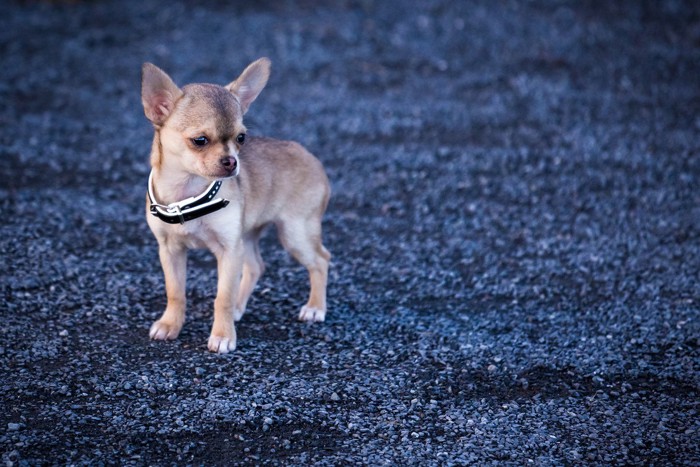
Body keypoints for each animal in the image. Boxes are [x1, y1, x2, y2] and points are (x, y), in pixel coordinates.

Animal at [141, 57, 332, 354]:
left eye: (241, 138)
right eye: (199, 140)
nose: (232, 162)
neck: (187, 191)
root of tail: (310, 156)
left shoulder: (229, 251)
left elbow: (223, 297)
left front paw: (222, 335)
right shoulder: (170, 250)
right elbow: (175, 292)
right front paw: (170, 324)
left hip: (295, 234)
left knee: (321, 261)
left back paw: (314, 308)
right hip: (249, 234)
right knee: (256, 266)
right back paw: (240, 309)